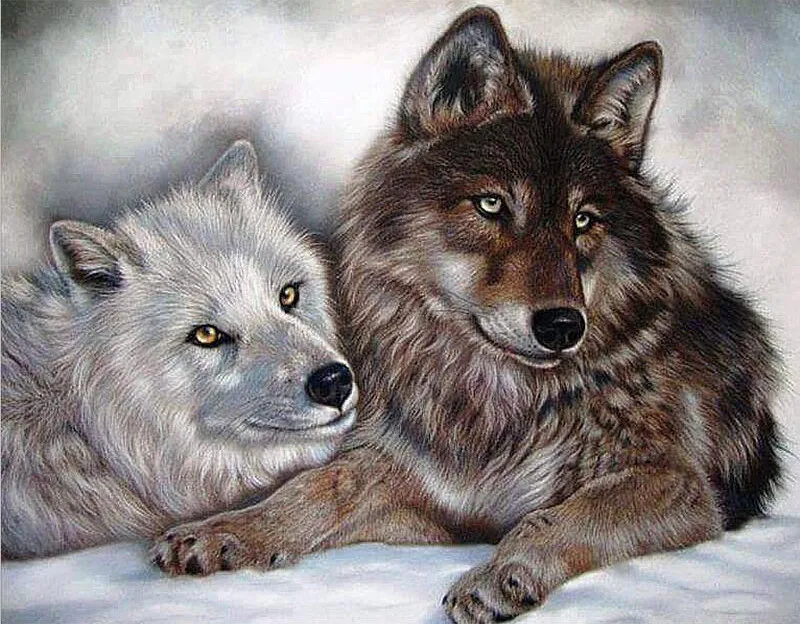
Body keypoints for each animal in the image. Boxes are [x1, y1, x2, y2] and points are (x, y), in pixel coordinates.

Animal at [152, 8, 782, 622]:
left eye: (582, 220)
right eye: (491, 204)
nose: (563, 326)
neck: (496, 400)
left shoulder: (680, 486)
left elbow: (560, 516)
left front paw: (501, 576)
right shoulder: (429, 494)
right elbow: (317, 485)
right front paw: (227, 531)